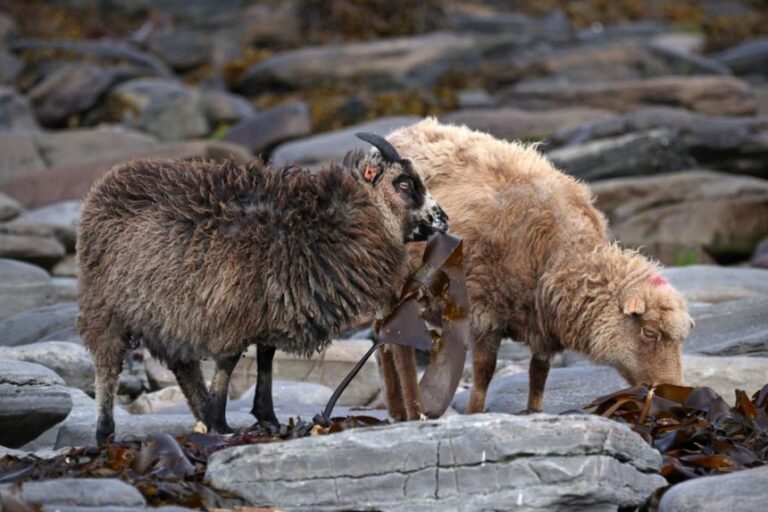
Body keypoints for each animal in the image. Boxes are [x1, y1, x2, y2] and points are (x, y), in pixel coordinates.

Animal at [75, 135, 448, 444]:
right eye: (404, 183)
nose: (443, 220)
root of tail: (108, 182)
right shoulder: (233, 308)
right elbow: (228, 363)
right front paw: (221, 423)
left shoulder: (273, 305)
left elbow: (266, 356)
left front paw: (265, 417)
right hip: (105, 306)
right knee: (107, 367)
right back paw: (106, 431)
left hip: (166, 314)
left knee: (183, 366)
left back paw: (198, 412)